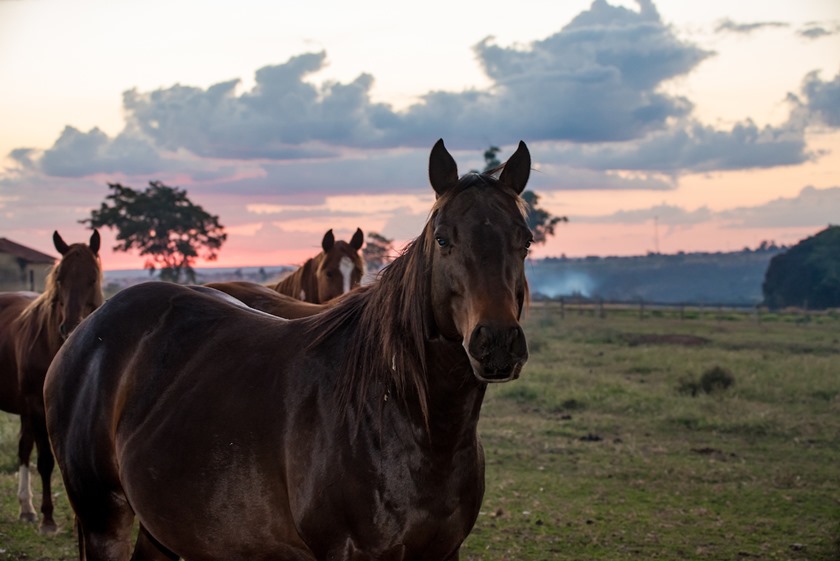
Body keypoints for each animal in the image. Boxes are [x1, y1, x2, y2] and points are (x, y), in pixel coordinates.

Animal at [0, 229, 102, 532]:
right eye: (59, 278)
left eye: (93, 278)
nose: (71, 327)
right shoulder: (36, 405)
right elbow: (45, 460)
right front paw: (48, 518)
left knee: (23, 449)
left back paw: (26, 508)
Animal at [42, 140, 532, 560]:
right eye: (443, 239)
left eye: (525, 240)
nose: (497, 342)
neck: (404, 414)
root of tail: (86, 331)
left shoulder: (445, 552)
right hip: (102, 519)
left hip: (161, 528)